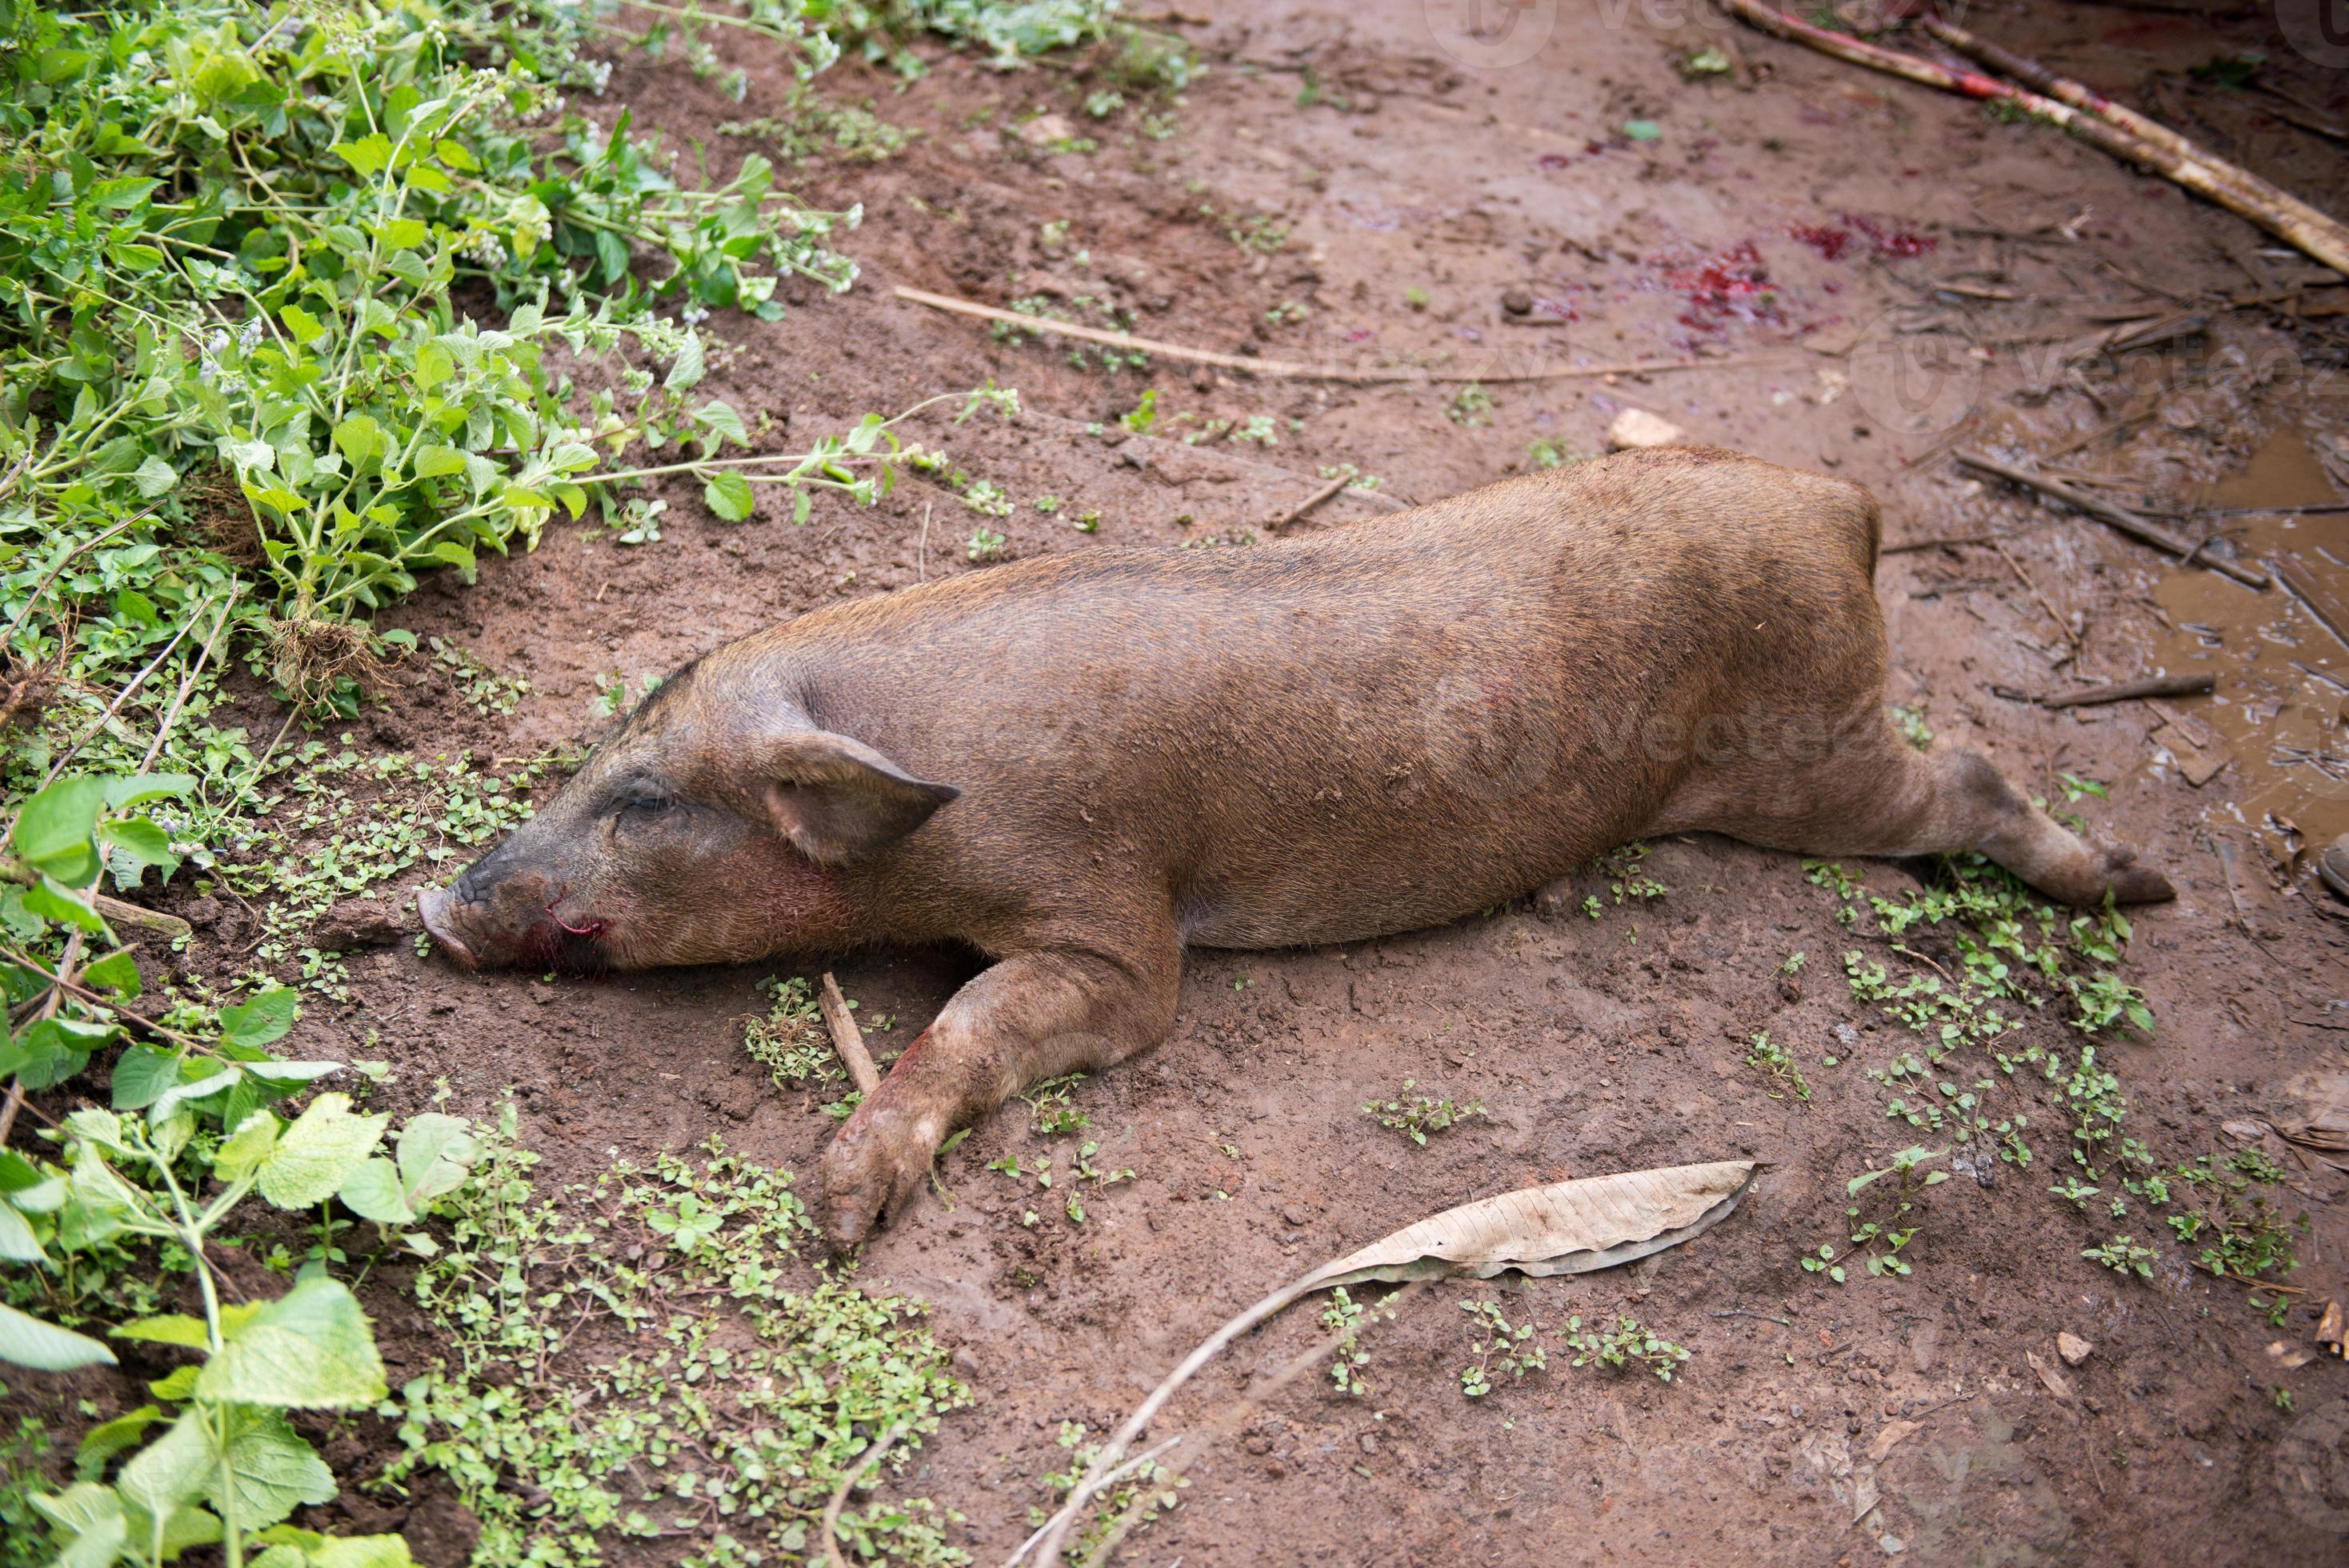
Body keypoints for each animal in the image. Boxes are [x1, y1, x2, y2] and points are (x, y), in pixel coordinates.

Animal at [418, 448, 2171, 1244]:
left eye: (647, 802)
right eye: (597, 757)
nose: (438, 904)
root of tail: (1834, 499)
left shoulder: (1119, 926)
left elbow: (995, 1022)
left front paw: (839, 1217)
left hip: (1818, 755)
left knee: (1976, 776)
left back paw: (2141, 887)